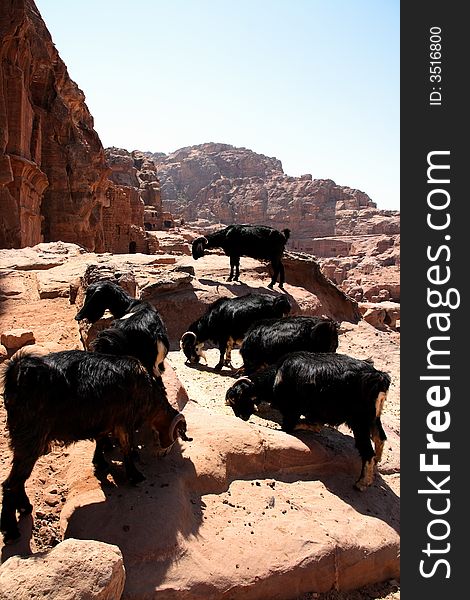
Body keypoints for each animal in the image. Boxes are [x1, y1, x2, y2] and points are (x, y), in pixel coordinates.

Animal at [0, 352, 191, 544]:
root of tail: (16, 373)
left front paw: (100, 463)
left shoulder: (106, 420)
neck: (147, 392)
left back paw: (25, 507)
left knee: (19, 479)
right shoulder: (124, 420)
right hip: (31, 438)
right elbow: (126, 448)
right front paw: (135, 475)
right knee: (11, 483)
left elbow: (100, 440)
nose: (164, 453)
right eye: (176, 435)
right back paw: (11, 530)